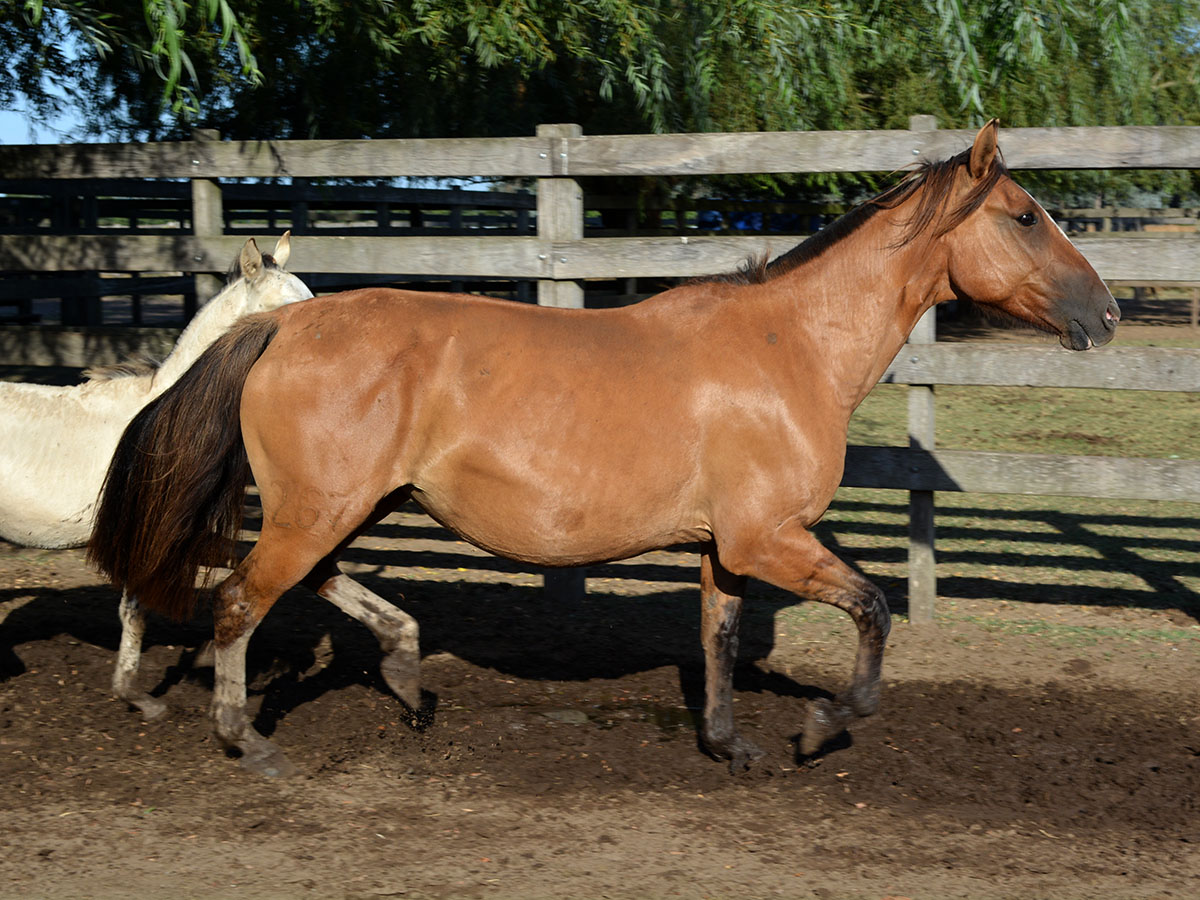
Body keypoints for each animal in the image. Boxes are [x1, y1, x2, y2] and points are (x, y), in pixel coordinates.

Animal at [91, 123, 1113, 777]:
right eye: (1026, 216)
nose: (1102, 315)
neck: (791, 349)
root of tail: (280, 325)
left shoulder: (725, 548)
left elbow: (718, 638)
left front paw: (730, 746)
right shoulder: (769, 538)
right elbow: (872, 609)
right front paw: (821, 728)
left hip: (348, 505)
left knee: (312, 582)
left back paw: (408, 670)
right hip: (316, 508)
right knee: (238, 602)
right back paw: (247, 741)